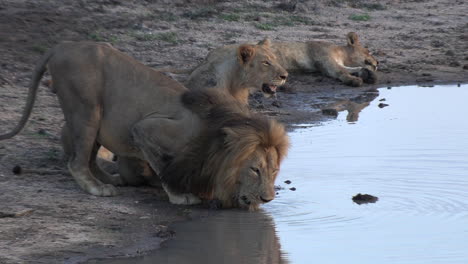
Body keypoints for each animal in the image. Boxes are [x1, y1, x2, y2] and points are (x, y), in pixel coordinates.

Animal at [0, 41, 288, 210]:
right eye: (254, 170)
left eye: (274, 171)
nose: (267, 199)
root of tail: (61, 46)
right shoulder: (146, 129)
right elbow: (162, 166)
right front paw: (180, 195)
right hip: (86, 107)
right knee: (77, 161)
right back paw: (97, 187)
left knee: (91, 157)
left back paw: (110, 179)